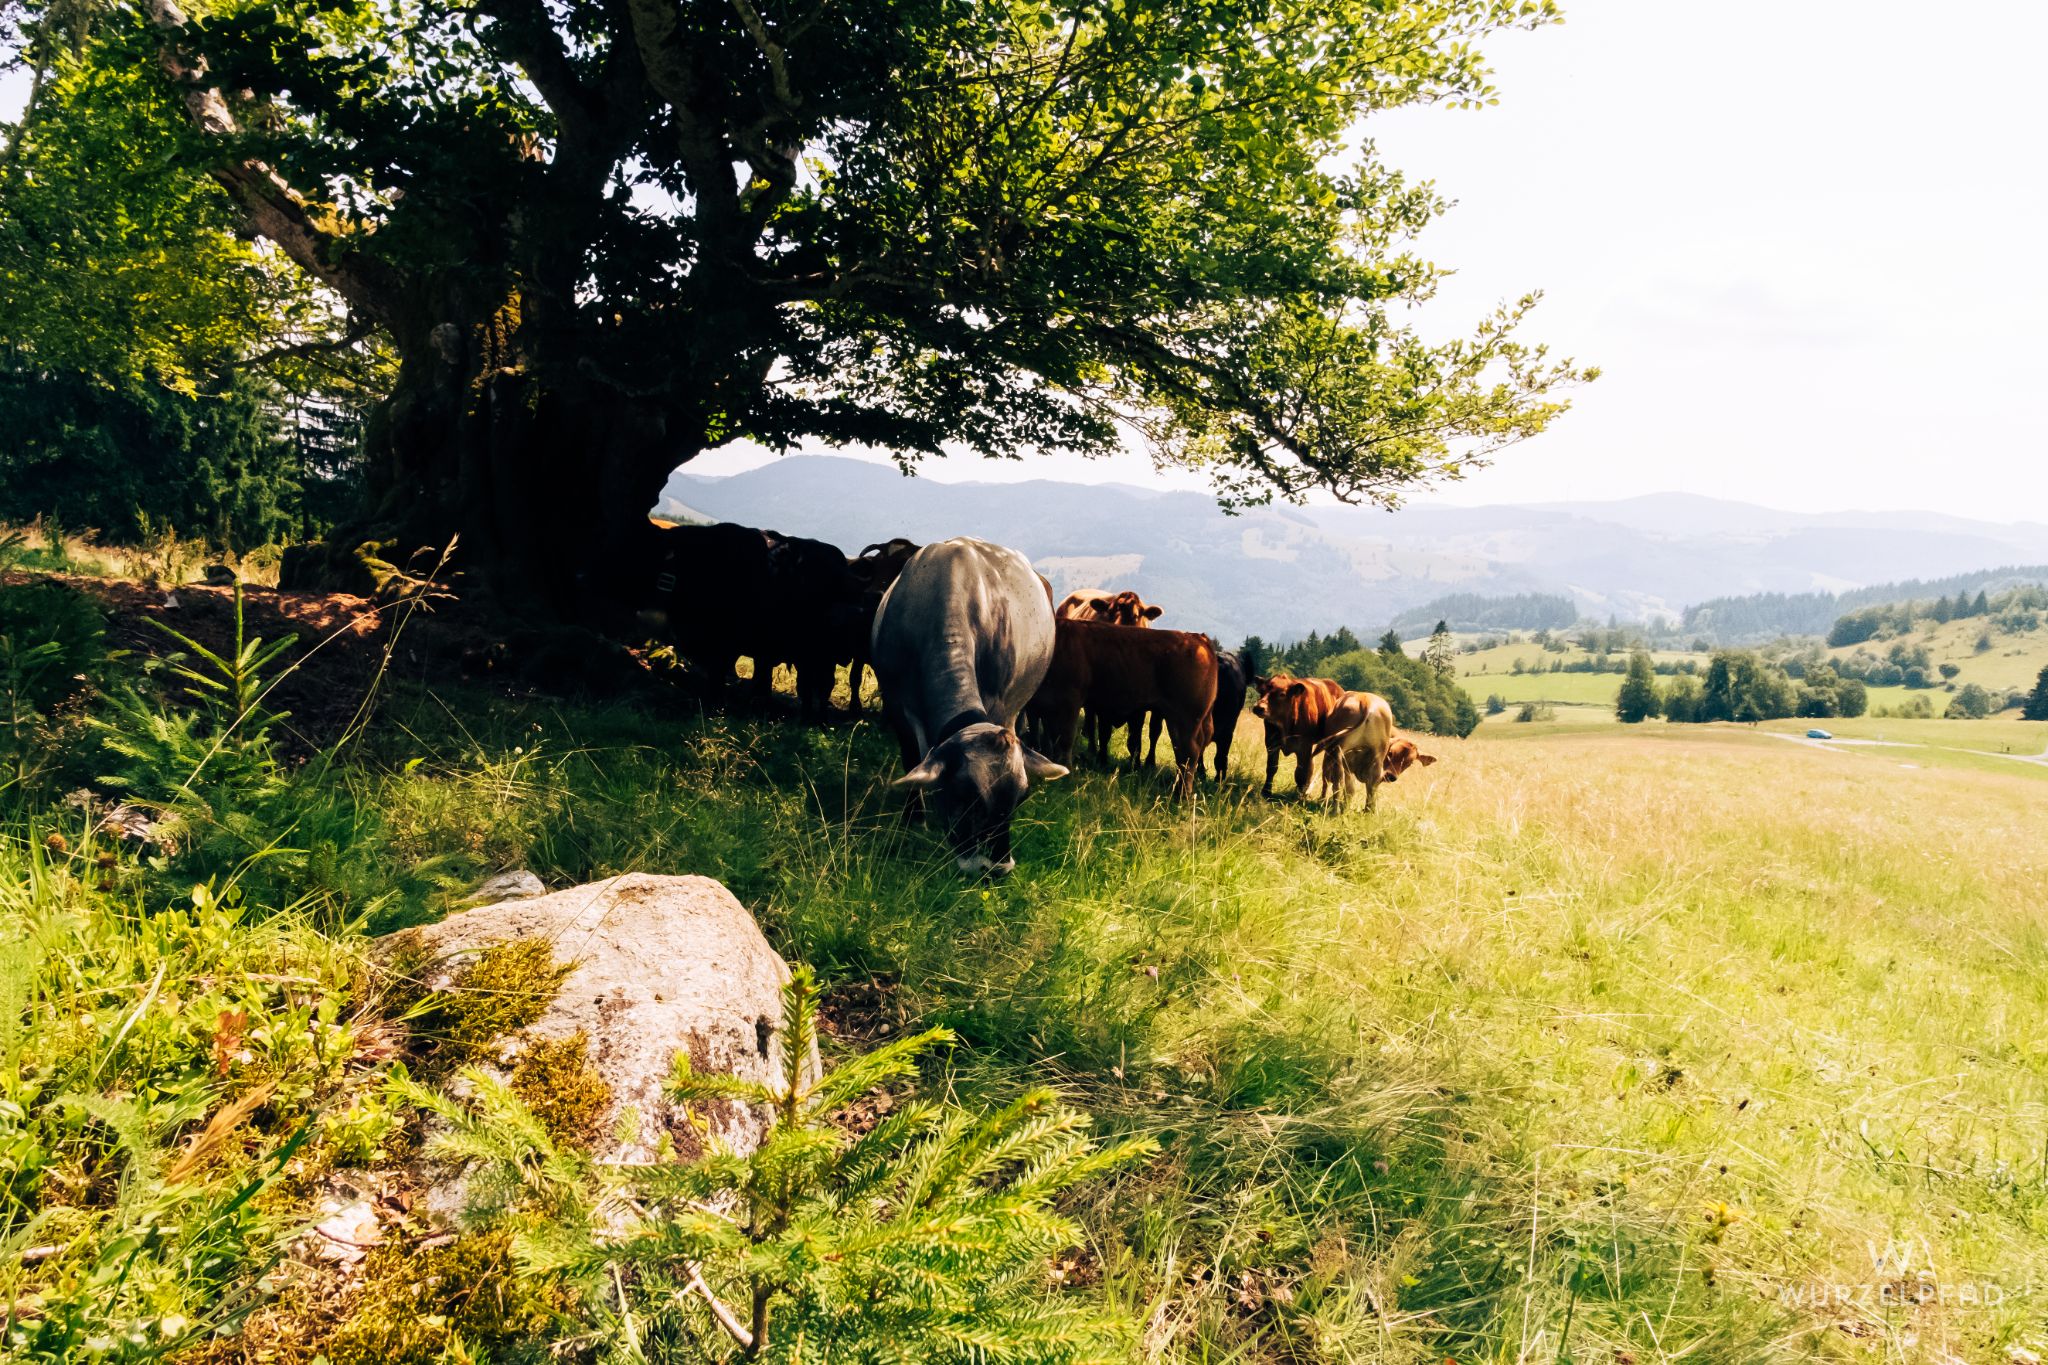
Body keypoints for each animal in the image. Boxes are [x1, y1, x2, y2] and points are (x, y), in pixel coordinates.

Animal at [870, 538, 1068, 877]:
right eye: (964, 796)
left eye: (1020, 798)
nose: (996, 868)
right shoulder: (895, 701)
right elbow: (910, 759)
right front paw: (914, 818)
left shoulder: (998, 703)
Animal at [1029, 620, 1217, 799]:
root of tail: (1197, 638)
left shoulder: (1069, 701)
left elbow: (1065, 739)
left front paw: (1065, 775)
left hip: (1183, 719)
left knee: (1188, 752)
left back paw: (1181, 794)